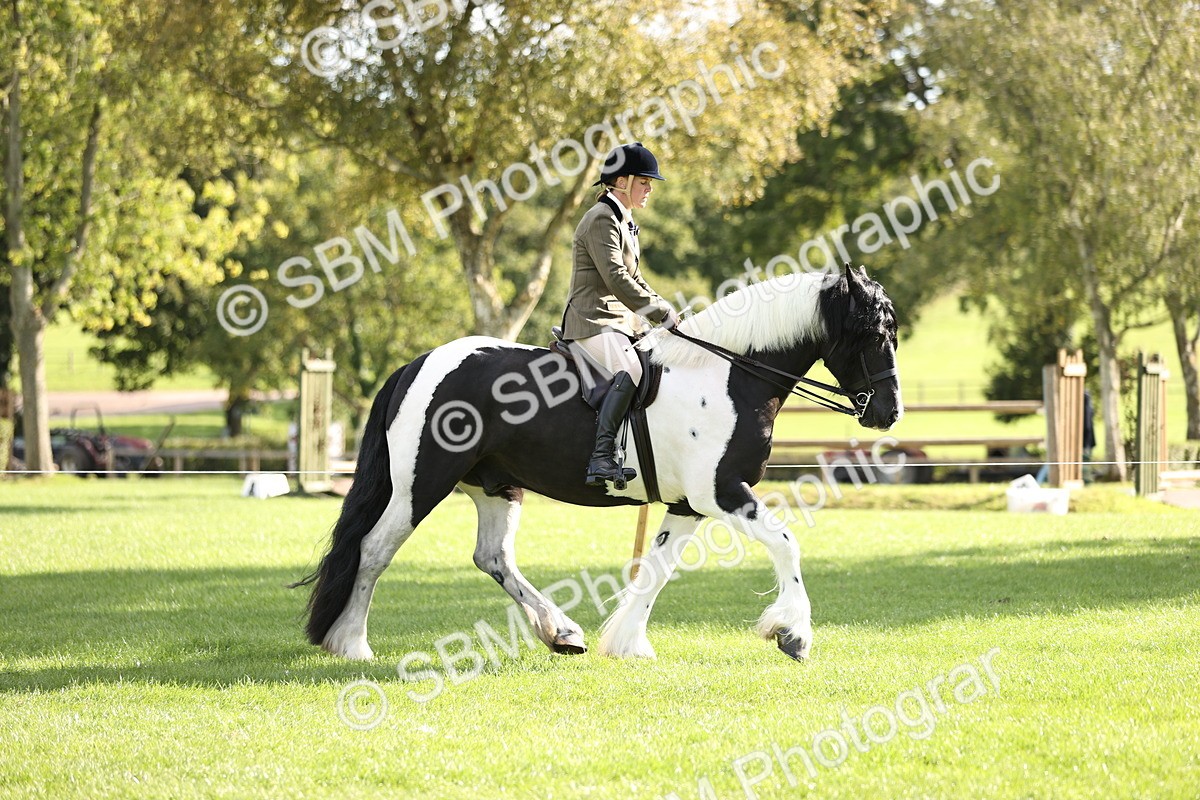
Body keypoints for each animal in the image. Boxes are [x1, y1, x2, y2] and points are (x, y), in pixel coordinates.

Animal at [294, 266, 902, 662]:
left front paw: (628, 643)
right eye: (873, 333)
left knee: (492, 557)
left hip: (495, 485)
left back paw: (562, 633)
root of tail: (417, 364)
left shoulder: (690, 504)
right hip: (421, 484)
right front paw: (794, 634)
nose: (888, 412)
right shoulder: (722, 492)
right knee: (373, 551)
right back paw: (353, 646)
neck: (728, 374)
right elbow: (786, 543)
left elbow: (656, 569)